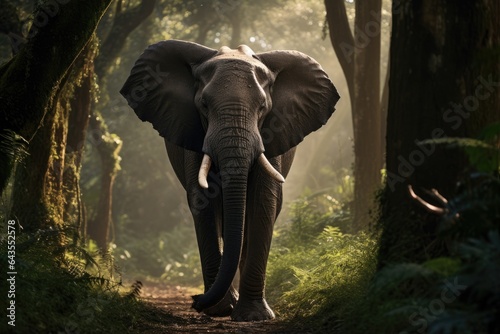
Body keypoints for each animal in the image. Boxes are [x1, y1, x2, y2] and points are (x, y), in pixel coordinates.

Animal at [120, 39, 340, 320]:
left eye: (263, 108)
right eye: (204, 105)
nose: (194, 300)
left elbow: (263, 201)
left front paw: (254, 316)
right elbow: (202, 200)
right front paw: (219, 309)